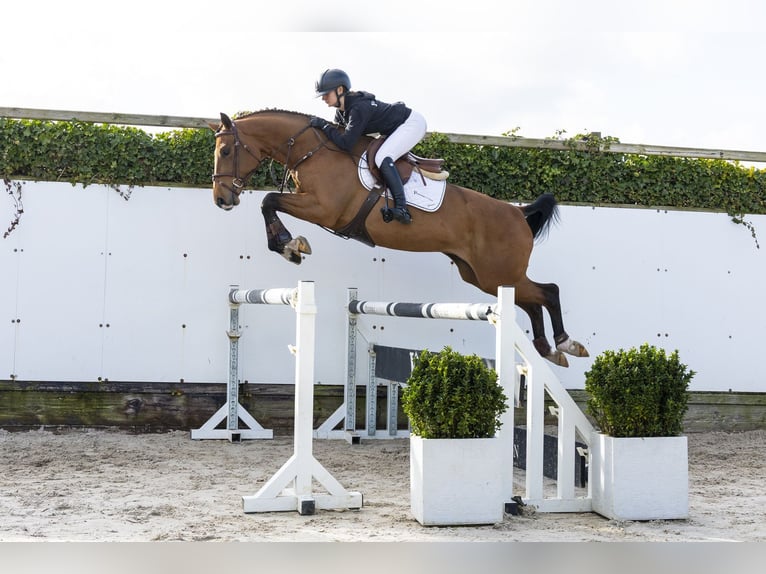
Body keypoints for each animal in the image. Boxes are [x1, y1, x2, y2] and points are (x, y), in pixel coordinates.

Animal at [210, 110, 588, 367]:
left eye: (226, 152)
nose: (221, 199)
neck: (312, 150)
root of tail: (517, 213)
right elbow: (269, 203)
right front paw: (288, 246)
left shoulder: (323, 209)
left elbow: (268, 200)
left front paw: (291, 245)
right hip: (483, 276)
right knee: (531, 300)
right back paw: (548, 349)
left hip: (497, 273)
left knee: (547, 292)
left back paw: (566, 344)